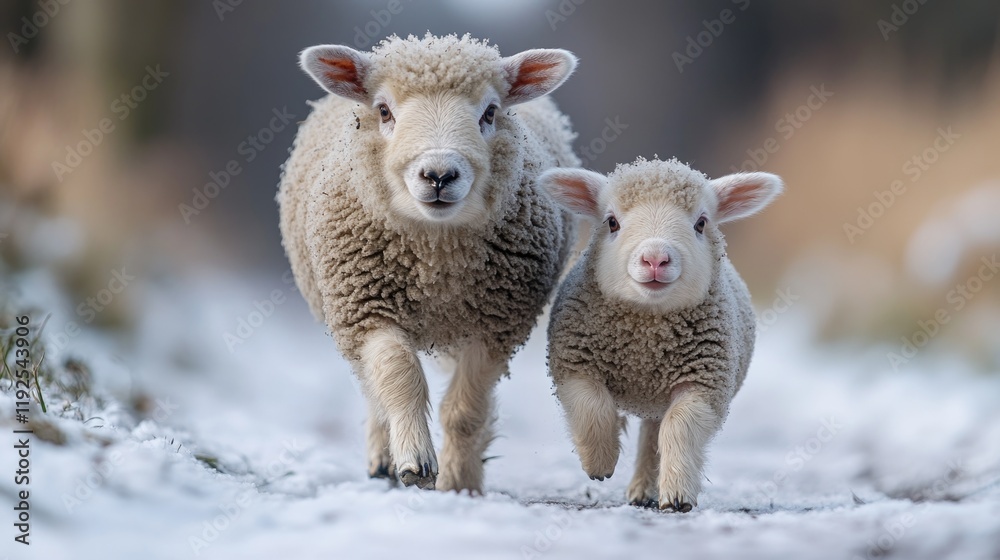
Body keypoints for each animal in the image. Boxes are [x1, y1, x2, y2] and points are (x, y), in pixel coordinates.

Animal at [277, 33, 580, 493]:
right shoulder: (366, 308)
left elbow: (465, 410)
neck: (434, 258)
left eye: (490, 112)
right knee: (374, 389)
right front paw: (415, 461)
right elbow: (399, 378)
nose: (439, 175)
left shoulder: (495, 325)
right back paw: (382, 461)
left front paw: (459, 484)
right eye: (384, 110)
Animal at [539, 157, 782, 511]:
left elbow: (680, 427)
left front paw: (678, 494)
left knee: (654, 433)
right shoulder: (575, 363)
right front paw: (599, 463)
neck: (647, 340)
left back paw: (645, 489)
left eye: (701, 223)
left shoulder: (704, 382)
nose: (655, 258)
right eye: (611, 222)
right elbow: (592, 407)